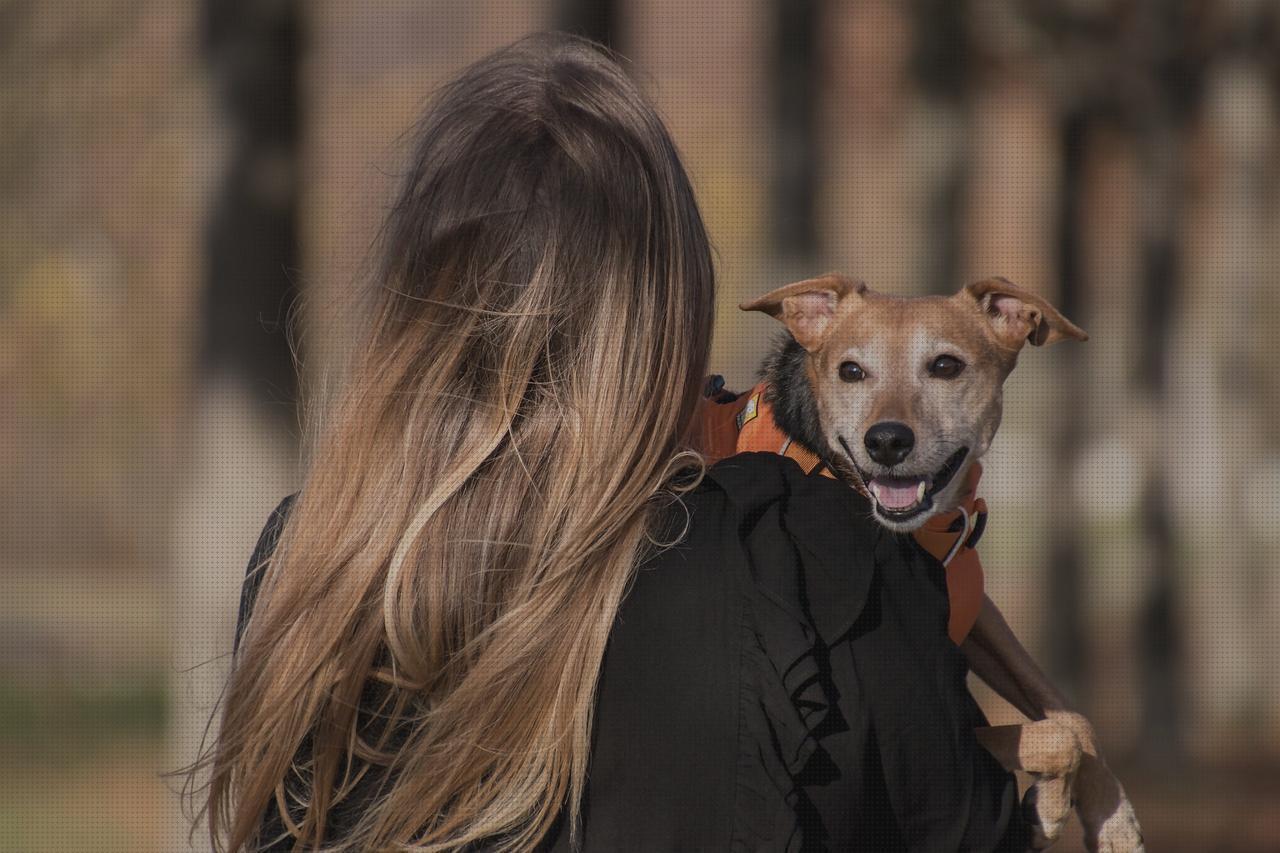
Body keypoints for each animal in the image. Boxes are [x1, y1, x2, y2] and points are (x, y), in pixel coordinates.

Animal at [737, 275, 1146, 845]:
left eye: (946, 366)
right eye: (850, 371)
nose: (887, 441)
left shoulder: (977, 614)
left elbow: (1069, 714)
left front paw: (1115, 819)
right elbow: (1056, 737)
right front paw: (1048, 808)